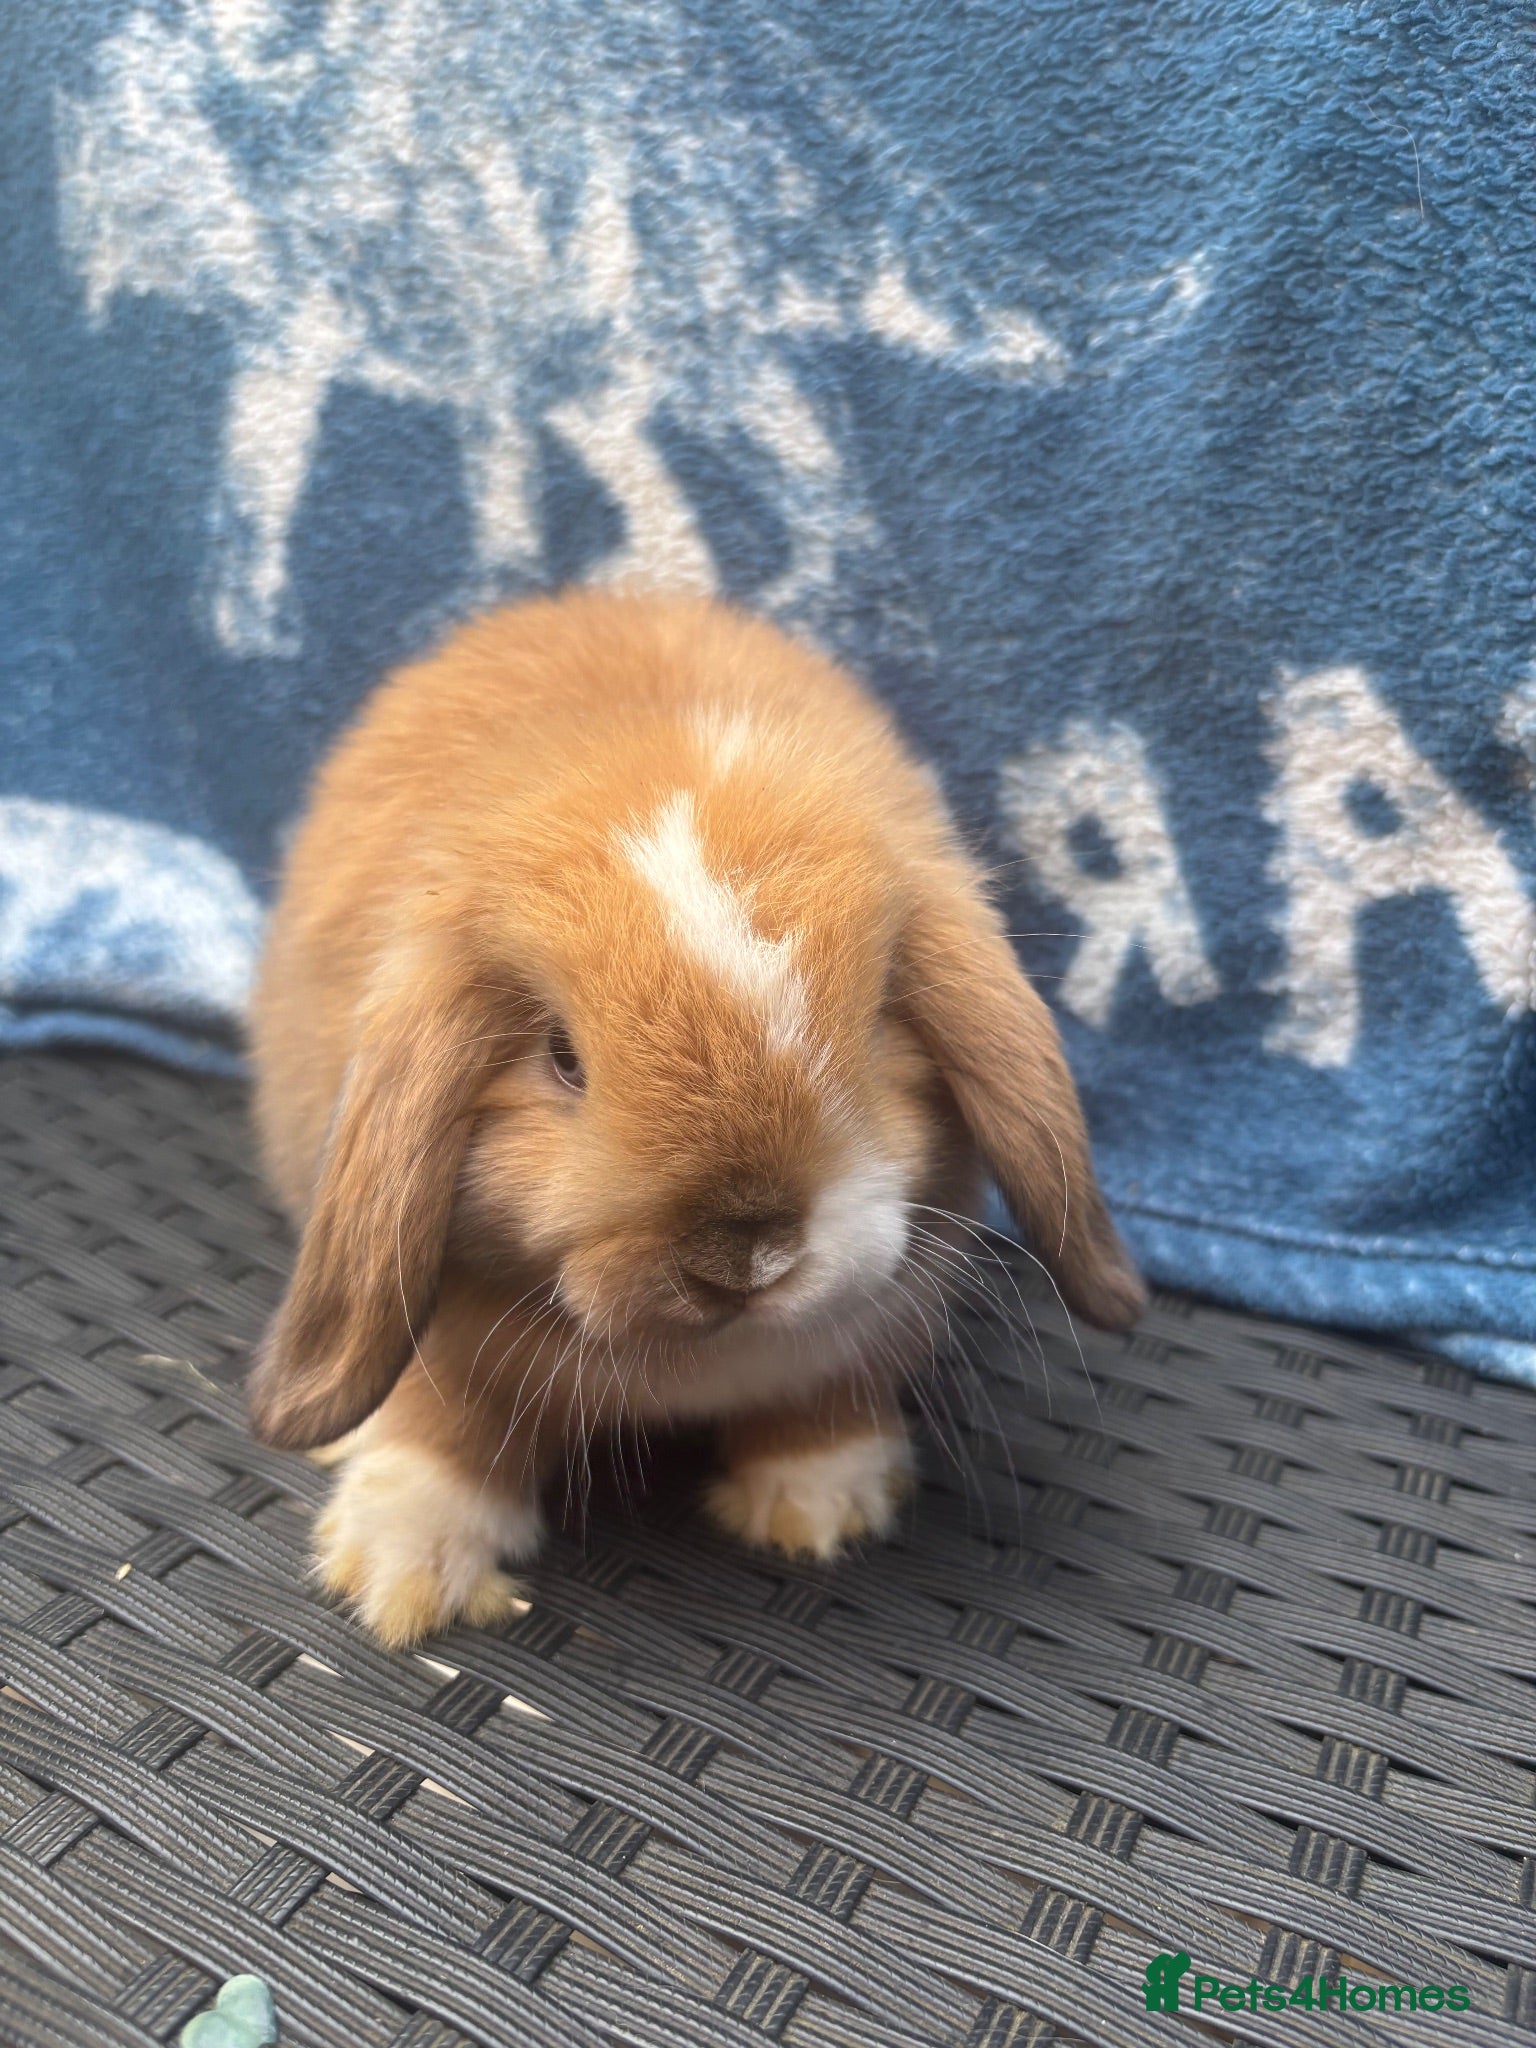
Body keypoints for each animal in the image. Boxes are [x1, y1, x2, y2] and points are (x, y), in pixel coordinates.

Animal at [246, 589, 1145, 1644]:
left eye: (877, 1020)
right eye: (562, 1058)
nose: (742, 1255)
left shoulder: (860, 1335)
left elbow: (821, 1401)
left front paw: (822, 1507)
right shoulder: (436, 1341)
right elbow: (444, 1425)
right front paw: (404, 1572)